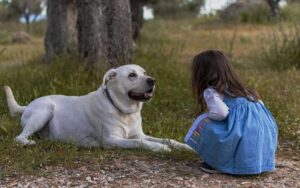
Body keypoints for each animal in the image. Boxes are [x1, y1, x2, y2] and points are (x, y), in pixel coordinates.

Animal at [4, 64, 192, 152]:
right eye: (132, 75)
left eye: (144, 72)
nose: (152, 80)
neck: (124, 111)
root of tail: (27, 106)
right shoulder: (112, 140)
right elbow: (139, 142)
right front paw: (159, 148)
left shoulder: (140, 134)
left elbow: (167, 139)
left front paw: (184, 147)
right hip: (45, 110)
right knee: (19, 137)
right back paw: (29, 142)